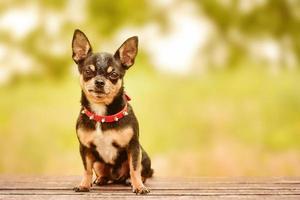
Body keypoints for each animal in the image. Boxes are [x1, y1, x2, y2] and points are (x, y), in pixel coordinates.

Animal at [71, 28, 154, 195]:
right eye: (88, 72)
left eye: (114, 74)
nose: (99, 82)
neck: (101, 114)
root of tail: (117, 178)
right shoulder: (85, 149)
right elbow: (86, 169)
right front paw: (84, 184)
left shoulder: (133, 147)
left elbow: (134, 169)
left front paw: (139, 187)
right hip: (98, 163)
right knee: (102, 173)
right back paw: (101, 179)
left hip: (144, 156)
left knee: (140, 172)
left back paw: (131, 181)